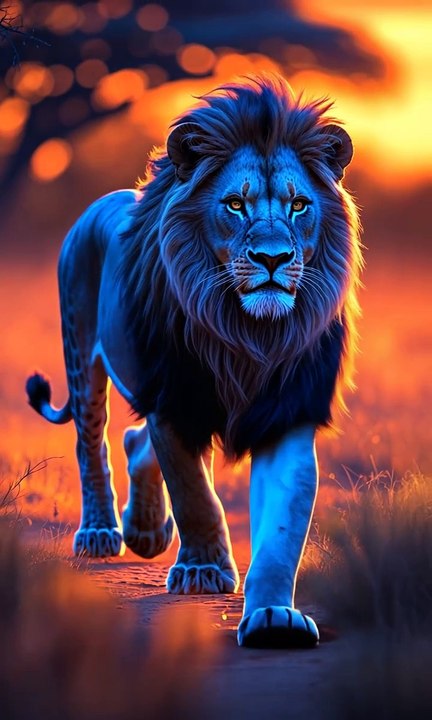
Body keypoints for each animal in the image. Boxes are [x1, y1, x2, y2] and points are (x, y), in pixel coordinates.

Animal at [26, 75, 361, 648]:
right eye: (234, 205)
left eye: (298, 205)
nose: (273, 258)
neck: (248, 336)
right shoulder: (173, 400)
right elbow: (194, 492)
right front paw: (203, 570)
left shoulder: (290, 410)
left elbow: (282, 527)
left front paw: (275, 616)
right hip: (81, 356)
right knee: (92, 444)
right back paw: (103, 532)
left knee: (134, 442)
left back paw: (145, 529)